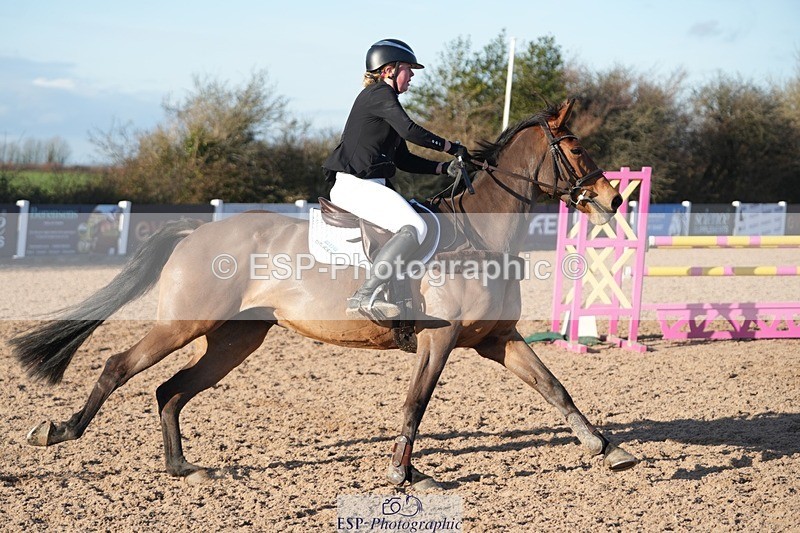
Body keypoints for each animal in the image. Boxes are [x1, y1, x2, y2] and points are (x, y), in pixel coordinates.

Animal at [11, 99, 637, 488]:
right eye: (575, 150)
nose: (615, 200)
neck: (480, 233)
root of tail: (196, 232)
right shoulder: (440, 341)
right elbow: (415, 404)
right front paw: (401, 474)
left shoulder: (498, 339)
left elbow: (555, 389)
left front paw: (608, 448)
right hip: (186, 324)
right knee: (119, 365)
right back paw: (59, 431)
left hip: (235, 339)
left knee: (171, 389)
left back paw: (184, 468)